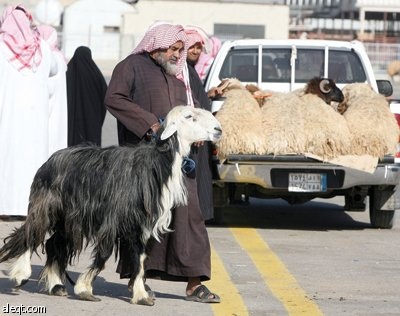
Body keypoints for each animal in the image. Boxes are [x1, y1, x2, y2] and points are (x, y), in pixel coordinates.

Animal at [0, 105, 222, 306]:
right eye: (189, 116)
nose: (218, 129)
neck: (155, 164)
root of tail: (48, 161)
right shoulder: (113, 219)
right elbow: (104, 254)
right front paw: (85, 289)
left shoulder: (141, 223)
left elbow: (140, 258)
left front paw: (141, 296)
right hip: (47, 206)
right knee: (32, 233)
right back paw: (21, 275)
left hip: (69, 219)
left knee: (53, 243)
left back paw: (56, 286)